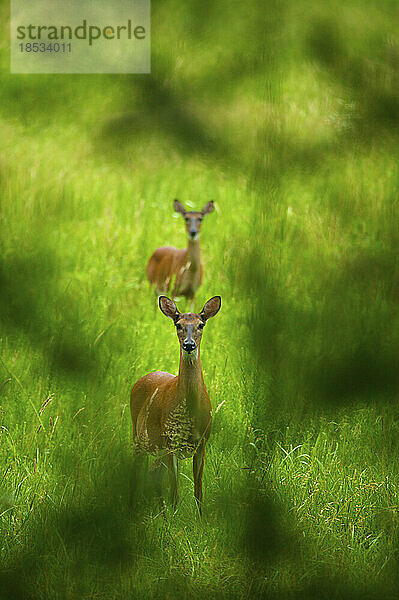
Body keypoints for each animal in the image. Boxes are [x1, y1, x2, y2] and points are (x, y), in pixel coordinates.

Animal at [130, 292, 222, 512]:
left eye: (201, 324)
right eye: (178, 324)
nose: (188, 345)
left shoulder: (202, 441)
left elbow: (198, 491)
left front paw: (199, 516)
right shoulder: (171, 440)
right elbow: (175, 491)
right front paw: (174, 514)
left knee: (152, 471)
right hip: (138, 435)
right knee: (136, 472)